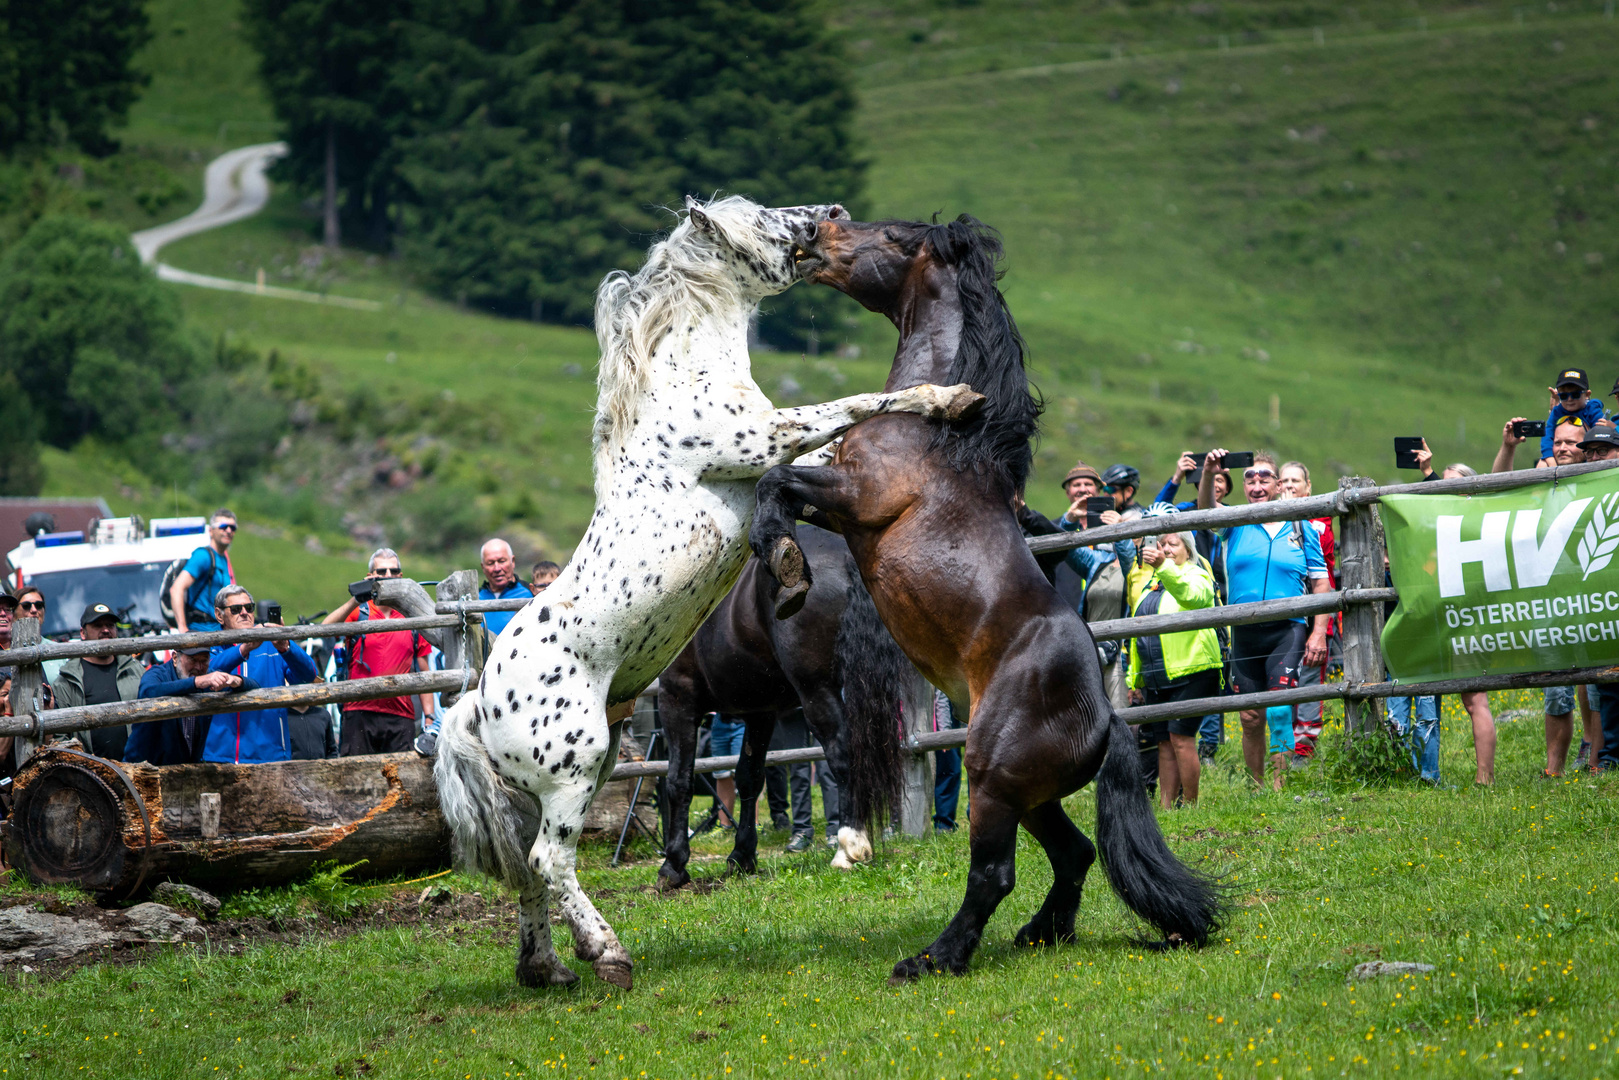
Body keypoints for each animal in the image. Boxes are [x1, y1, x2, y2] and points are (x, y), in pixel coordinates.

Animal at [657, 524, 913, 887]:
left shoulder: (677, 699)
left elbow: (679, 781)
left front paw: (674, 864)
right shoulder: (759, 712)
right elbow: (749, 778)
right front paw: (742, 855)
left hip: (817, 692)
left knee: (843, 754)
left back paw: (849, 846)